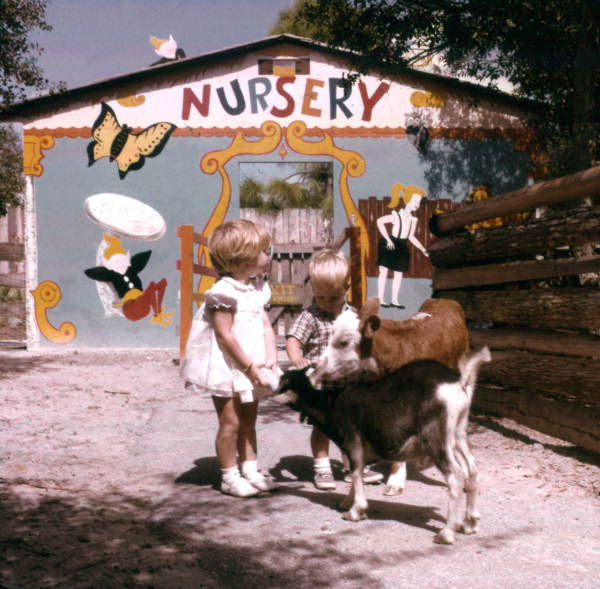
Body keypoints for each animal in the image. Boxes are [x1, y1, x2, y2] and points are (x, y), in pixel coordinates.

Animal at [274, 346, 490, 544]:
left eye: (285, 380)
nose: (273, 393)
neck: (331, 405)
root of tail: (459, 381)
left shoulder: (353, 440)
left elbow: (356, 472)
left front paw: (355, 511)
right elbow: (356, 472)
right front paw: (347, 503)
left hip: (436, 438)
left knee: (456, 476)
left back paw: (446, 533)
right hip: (458, 435)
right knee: (472, 471)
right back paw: (470, 524)